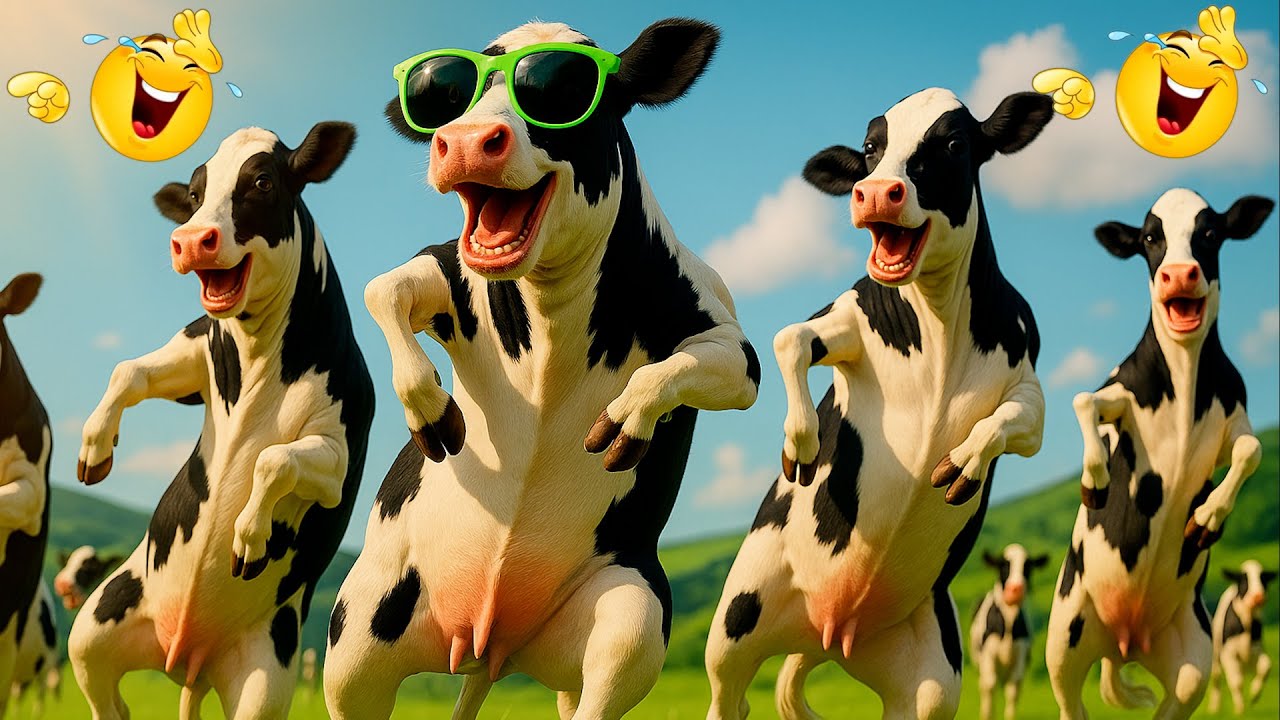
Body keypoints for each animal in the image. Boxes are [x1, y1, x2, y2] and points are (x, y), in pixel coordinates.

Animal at [69, 121, 375, 720]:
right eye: (193, 194)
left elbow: (273, 458)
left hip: (264, 678)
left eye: (262, 181)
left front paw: (248, 537)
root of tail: (187, 659)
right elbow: (127, 370)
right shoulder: (196, 357)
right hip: (94, 628)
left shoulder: (337, 453)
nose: (191, 240)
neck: (257, 358)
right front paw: (95, 449)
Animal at [324, 18, 758, 720]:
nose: (466, 142)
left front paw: (623, 422)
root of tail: (490, 644)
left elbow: (672, 371)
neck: (554, 316)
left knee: (603, 677)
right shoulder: (447, 270)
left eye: (562, 87)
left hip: (627, 620)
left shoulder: (733, 347)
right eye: (450, 93)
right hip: (358, 634)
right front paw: (432, 412)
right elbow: (382, 288)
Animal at [969, 545, 1049, 720]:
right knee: (984, 687)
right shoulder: (988, 655)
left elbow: (1012, 691)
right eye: (1004, 566)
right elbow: (990, 686)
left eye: (1028, 566)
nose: (1016, 589)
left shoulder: (1020, 656)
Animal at [1208, 560, 1275, 715]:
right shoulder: (1228, 653)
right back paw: (1214, 708)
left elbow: (1266, 666)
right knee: (1216, 678)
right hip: (1215, 654)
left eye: (1263, 578)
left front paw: (1254, 694)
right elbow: (1236, 682)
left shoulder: (1257, 648)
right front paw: (1239, 710)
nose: (1258, 597)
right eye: (1244, 580)